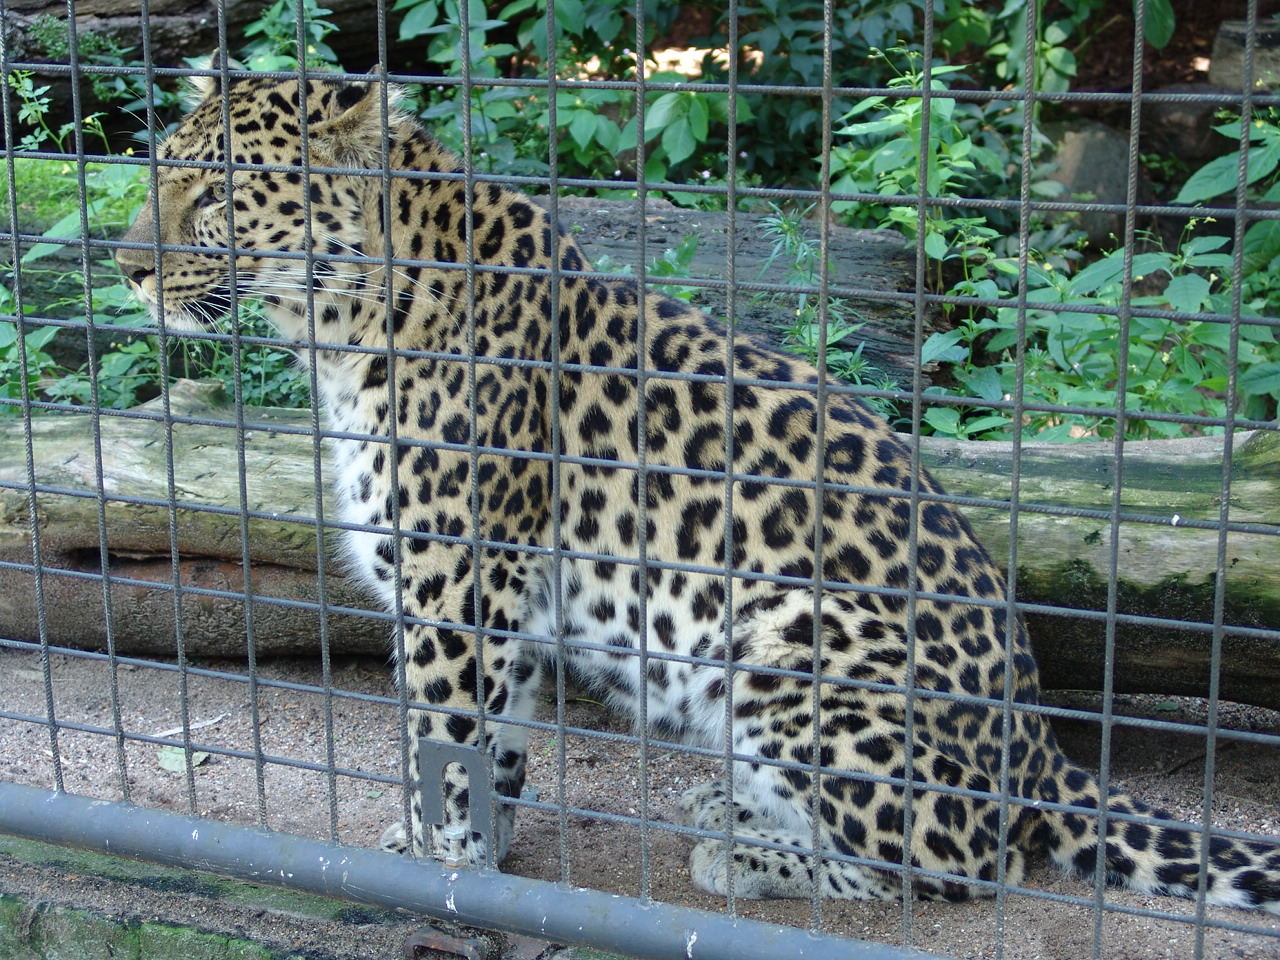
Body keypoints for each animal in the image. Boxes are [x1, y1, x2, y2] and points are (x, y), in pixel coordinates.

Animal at [116, 65, 1280, 913]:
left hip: (785, 648)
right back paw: (733, 812)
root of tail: (1038, 750)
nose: (124, 267)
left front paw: (430, 866)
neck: (344, 328)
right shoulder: (507, 601)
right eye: (160, 170)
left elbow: (438, 740)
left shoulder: (454, 588)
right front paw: (472, 851)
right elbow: (493, 745)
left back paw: (746, 854)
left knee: (960, 863)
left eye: (217, 191)